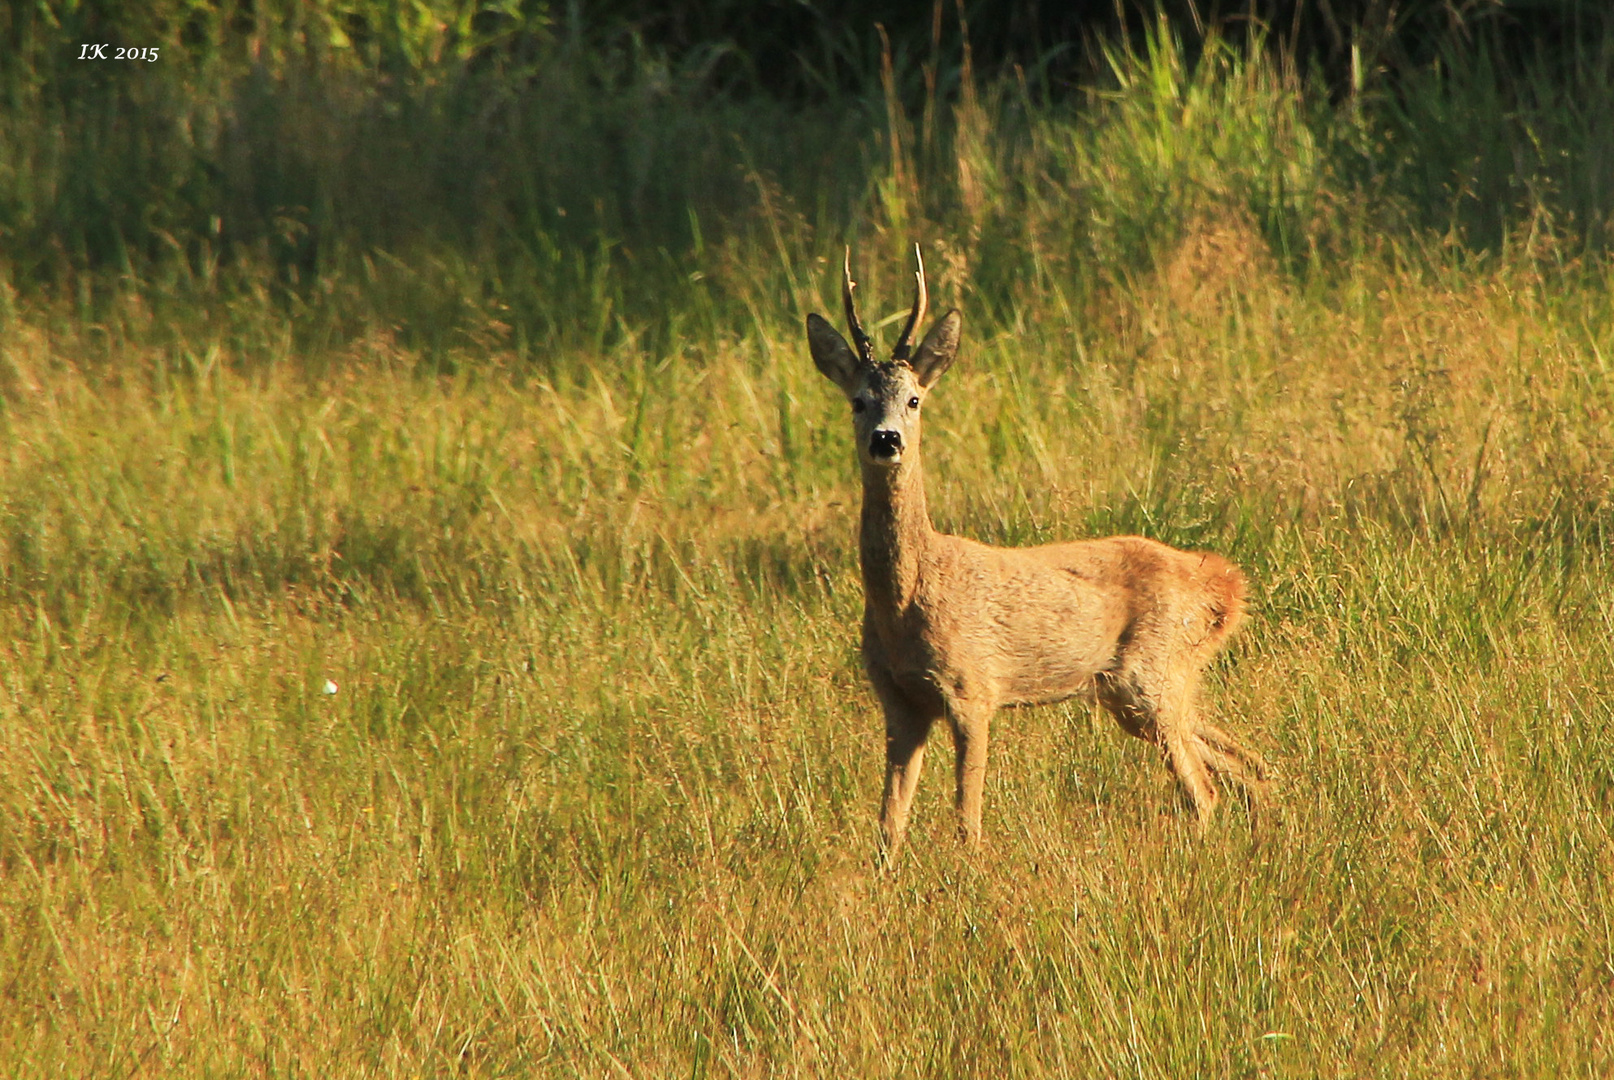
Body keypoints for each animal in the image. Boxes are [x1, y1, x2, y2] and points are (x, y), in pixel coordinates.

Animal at [813, 246, 1265, 858]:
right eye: (857, 401)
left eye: (914, 399)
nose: (887, 439)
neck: (908, 600)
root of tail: (1224, 585)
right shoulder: (900, 703)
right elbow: (890, 823)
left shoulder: (974, 689)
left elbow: (967, 816)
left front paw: (969, 870)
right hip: (1142, 691)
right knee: (1246, 762)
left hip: (1151, 676)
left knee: (1206, 788)